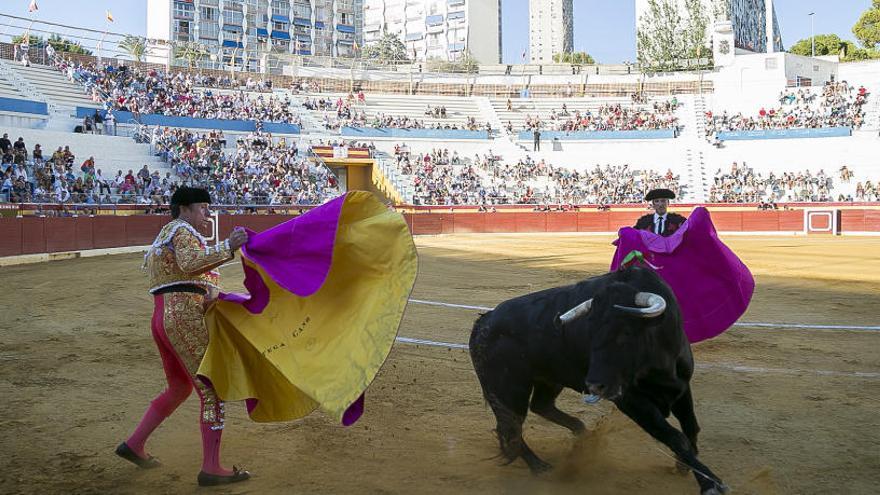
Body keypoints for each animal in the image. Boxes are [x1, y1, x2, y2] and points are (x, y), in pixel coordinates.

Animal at [468, 268, 728, 495]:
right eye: (590, 332)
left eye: (626, 332)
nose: (594, 385)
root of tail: (484, 322)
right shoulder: (630, 400)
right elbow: (675, 436)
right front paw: (710, 483)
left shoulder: (681, 386)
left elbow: (690, 427)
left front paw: (685, 465)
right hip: (509, 389)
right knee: (511, 427)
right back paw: (540, 466)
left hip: (549, 379)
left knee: (540, 407)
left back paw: (582, 435)